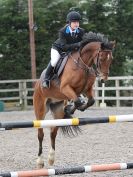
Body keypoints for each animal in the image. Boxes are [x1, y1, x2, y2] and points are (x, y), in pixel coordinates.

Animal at [33, 32, 115, 168]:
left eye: (111, 59)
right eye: (102, 58)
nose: (103, 79)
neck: (83, 64)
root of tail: (37, 83)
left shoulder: (86, 90)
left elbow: (89, 101)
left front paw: (72, 109)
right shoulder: (66, 88)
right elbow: (77, 100)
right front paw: (71, 109)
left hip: (57, 108)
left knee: (53, 132)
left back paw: (51, 159)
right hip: (40, 108)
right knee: (40, 133)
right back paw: (40, 161)